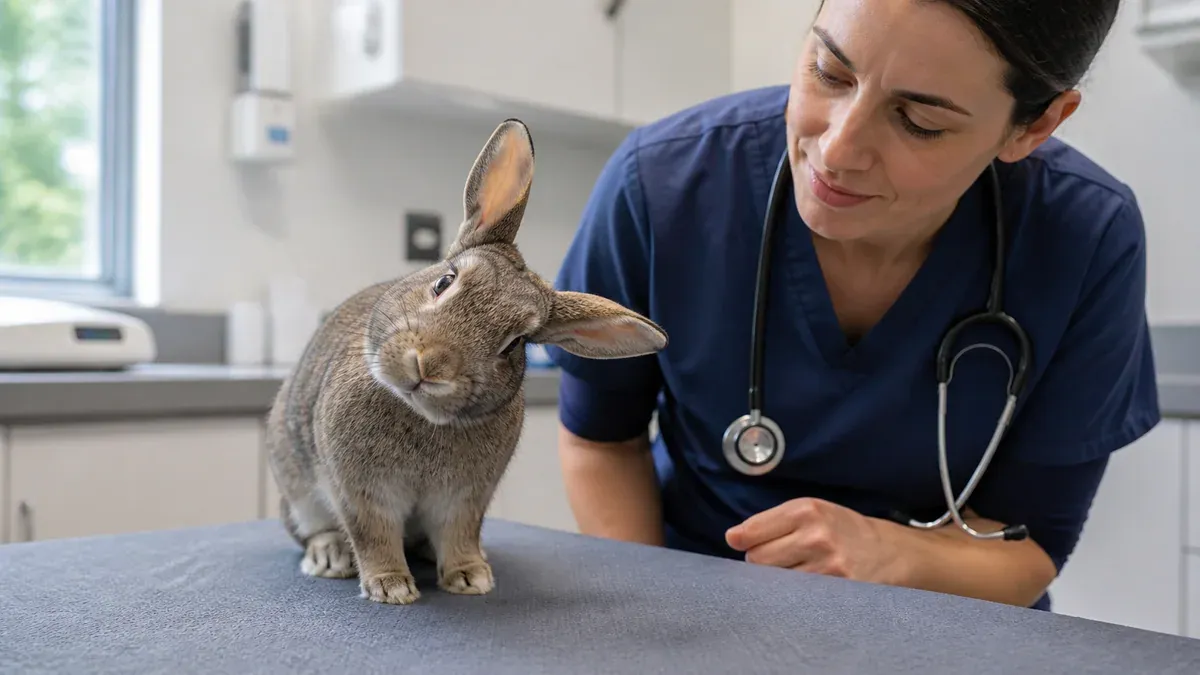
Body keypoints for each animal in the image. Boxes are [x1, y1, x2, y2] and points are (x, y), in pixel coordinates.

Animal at [264, 118, 668, 605]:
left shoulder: (465, 499)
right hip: (298, 490)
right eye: (444, 281)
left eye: (515, 343)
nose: (430, 367)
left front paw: (471, 578)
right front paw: (390, 587)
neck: (418, 415)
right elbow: (373, 536)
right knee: (312, 529)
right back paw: (329, 556)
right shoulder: (360, 492)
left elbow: (459, 534)